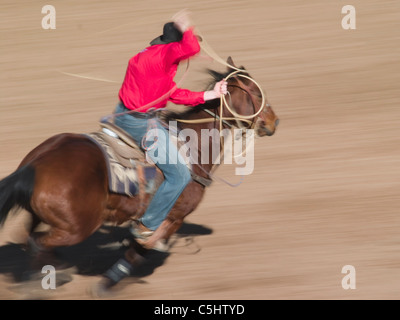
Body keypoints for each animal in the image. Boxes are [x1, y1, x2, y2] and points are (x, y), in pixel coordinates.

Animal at [0, 56, 278, 292]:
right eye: (256, 93)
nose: (274, 121)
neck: (192, 145)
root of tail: (35, 165)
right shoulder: (172, 218)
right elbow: (140, 250)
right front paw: (105, 286)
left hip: (41, 215)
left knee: (27, 238)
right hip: (76, 228)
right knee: (37, 242)